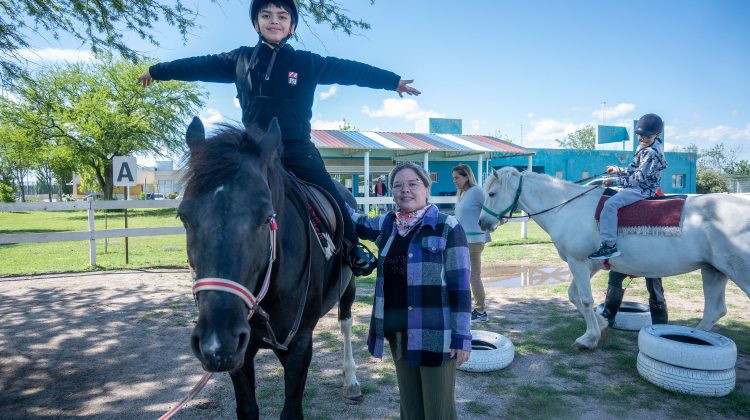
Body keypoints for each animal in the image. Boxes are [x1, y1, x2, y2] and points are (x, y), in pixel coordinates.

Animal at [179, 116, 362, 418]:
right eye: (183, 216)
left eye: (267, 218)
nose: (217, 341)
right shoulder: (241, 354)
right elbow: (248, 408)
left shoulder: (300, 344)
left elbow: (291, 410)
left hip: (348, 288)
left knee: (345, 324)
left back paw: (351, 381)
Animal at [478, 166, 750, 350]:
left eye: (491, 193)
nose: (482, 223)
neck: (566, 207)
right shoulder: (589, 264)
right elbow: (574, 295)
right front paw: (602, 325)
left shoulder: (579, 262)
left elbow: (585, 299)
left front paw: (589, 338)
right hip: (714, 271)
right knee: (714, 311)